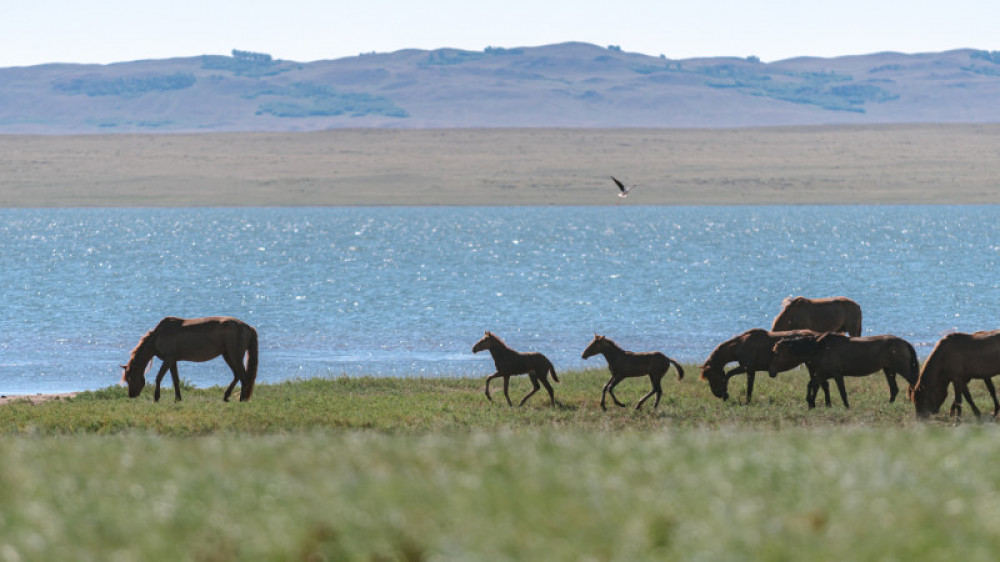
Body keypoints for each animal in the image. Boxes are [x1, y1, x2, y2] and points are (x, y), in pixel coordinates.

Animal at [121, 316, 260, 402]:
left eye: (131, 378)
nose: (131, 395)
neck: (158, 336)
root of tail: (248, 327)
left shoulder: (168, 359)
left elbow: (159, 377)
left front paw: (156, 397)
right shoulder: (172, 361)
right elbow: (175, 380)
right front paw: (178, 398)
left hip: (235, 356)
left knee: (243, 377)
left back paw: (242, 399)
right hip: (227, 355)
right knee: (237, 375)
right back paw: (226, 396)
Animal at [696, 328, 828, 402]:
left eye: (712, 377)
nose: (717, 394)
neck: (741, 344)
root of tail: (818, 337)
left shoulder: (745, 367)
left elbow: (728, 375)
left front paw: (726, 393)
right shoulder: (751, 370)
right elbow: (750, 387)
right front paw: (748, 402)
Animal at [764, 332, 920, 406]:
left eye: (776, 353)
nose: (771, 371)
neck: (819, 347)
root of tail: (904, 342)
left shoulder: (837, 375)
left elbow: (842, 393)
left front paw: (846, 407)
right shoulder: (821, 374)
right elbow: (812, 385)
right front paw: (811, 403)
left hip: (902, 370)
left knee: (914, 383)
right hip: (889, 370)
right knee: (894, 389)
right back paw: (889, 405)